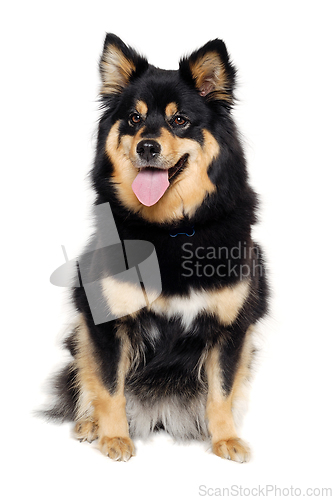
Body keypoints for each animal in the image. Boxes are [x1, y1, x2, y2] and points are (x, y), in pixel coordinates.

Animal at [45, 33, 268, 462]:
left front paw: (225, 440)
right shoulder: (106, 321)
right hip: (80, 328)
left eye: (179, 120)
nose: (146, 146)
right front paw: (115, 437)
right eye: (134, 118)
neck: (170, 230)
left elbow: (222, 391)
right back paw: (90, 424)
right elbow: (109, 386)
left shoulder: (232, 327)